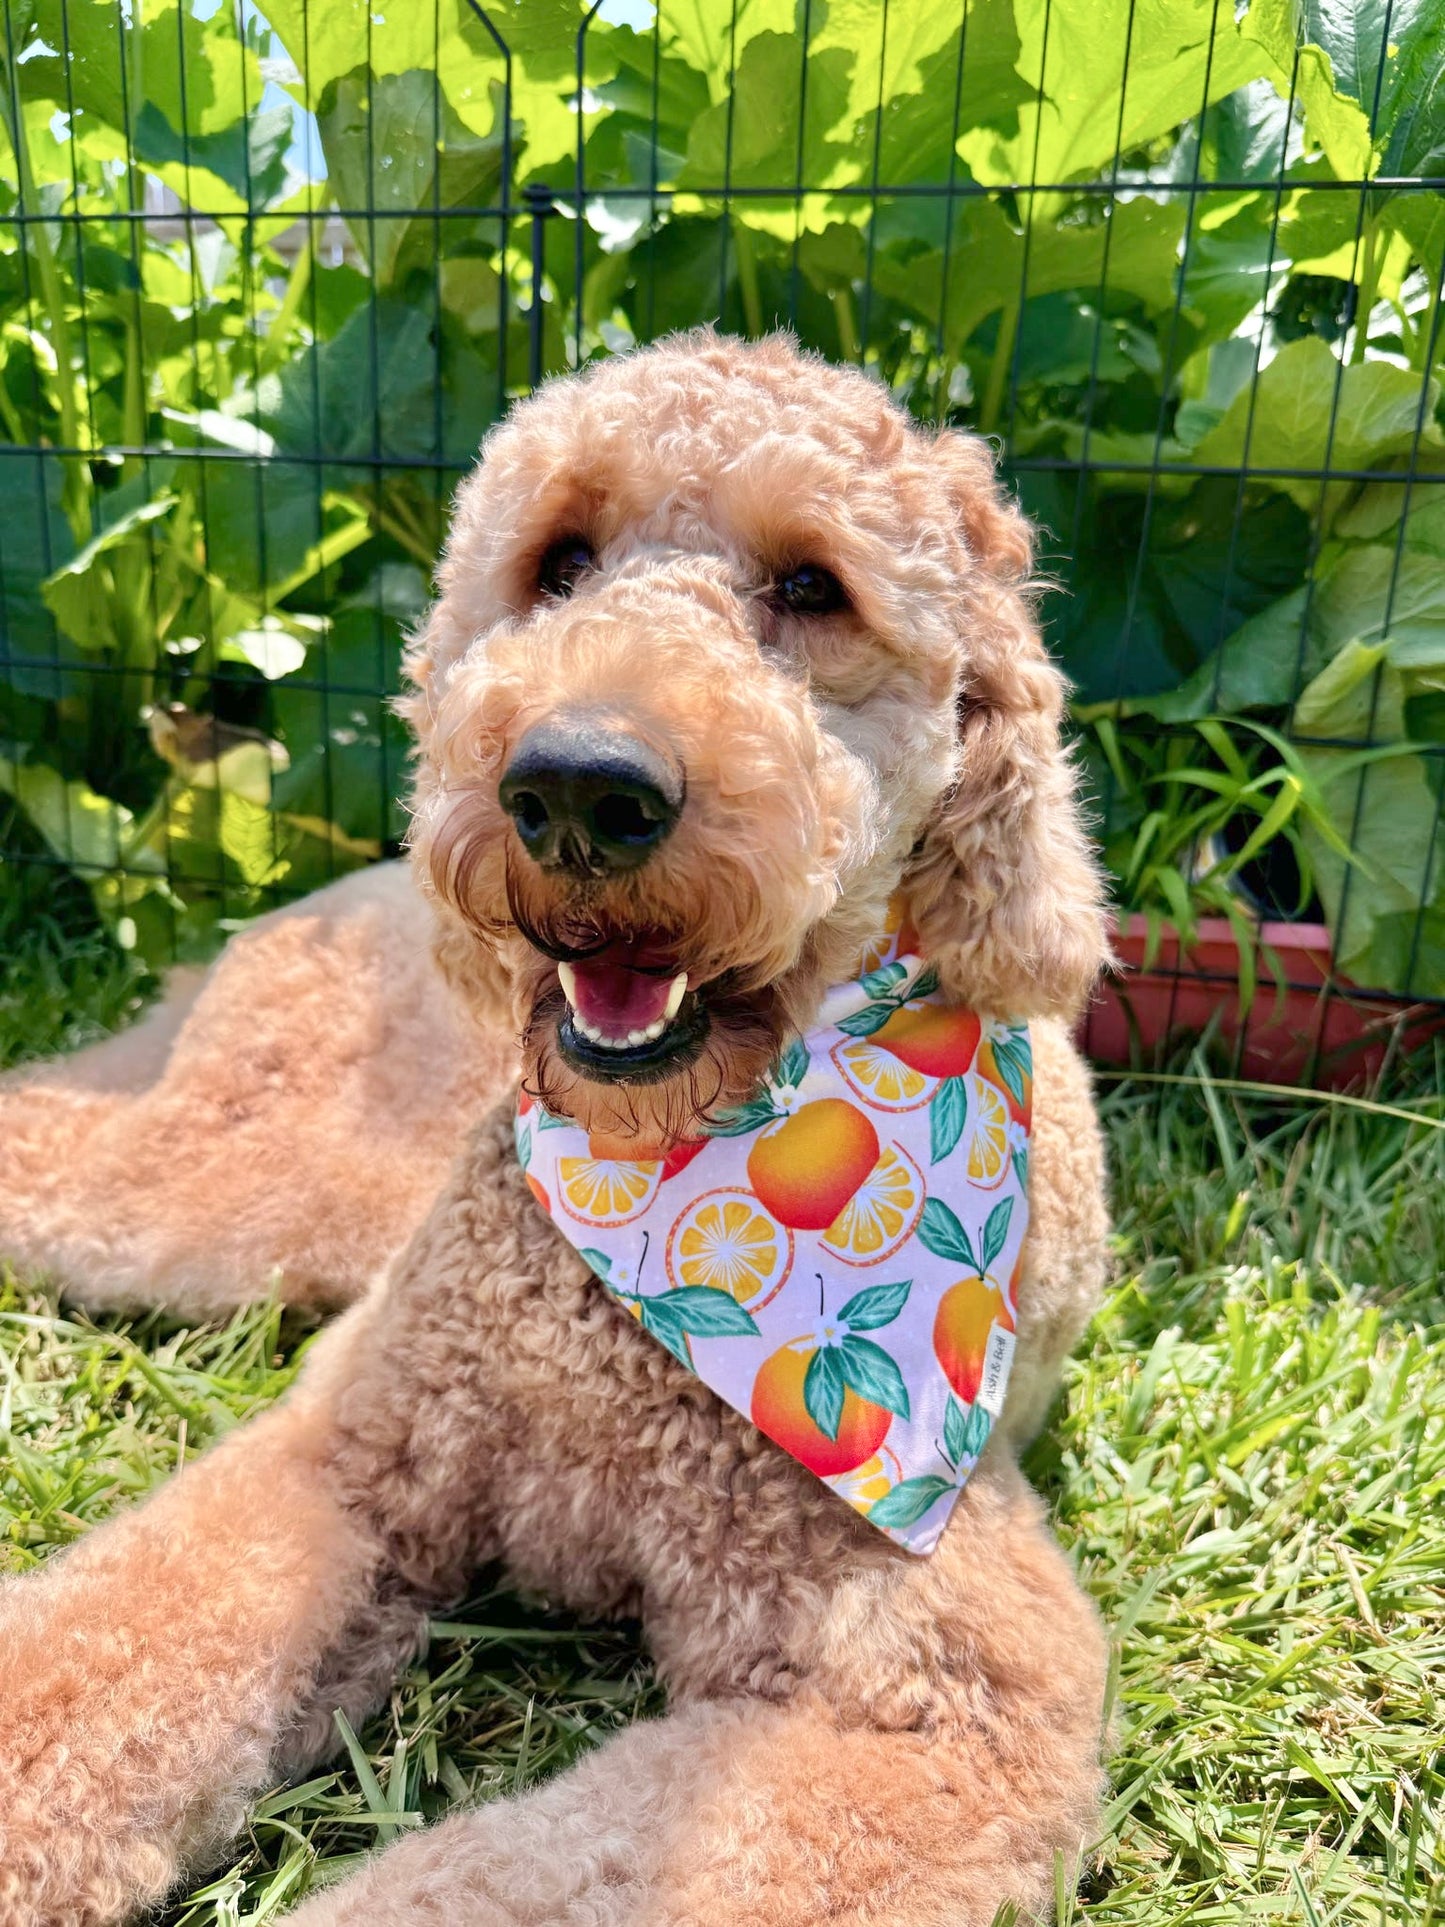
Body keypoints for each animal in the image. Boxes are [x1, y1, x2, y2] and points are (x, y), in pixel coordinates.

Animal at [0, 335, 1109, 1927]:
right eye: (559, 563)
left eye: (812, 586)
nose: (577, 784)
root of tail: (334, 892)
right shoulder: (347, 1460)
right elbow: (100, 1647)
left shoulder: (944, 1699)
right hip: (209, 1194)